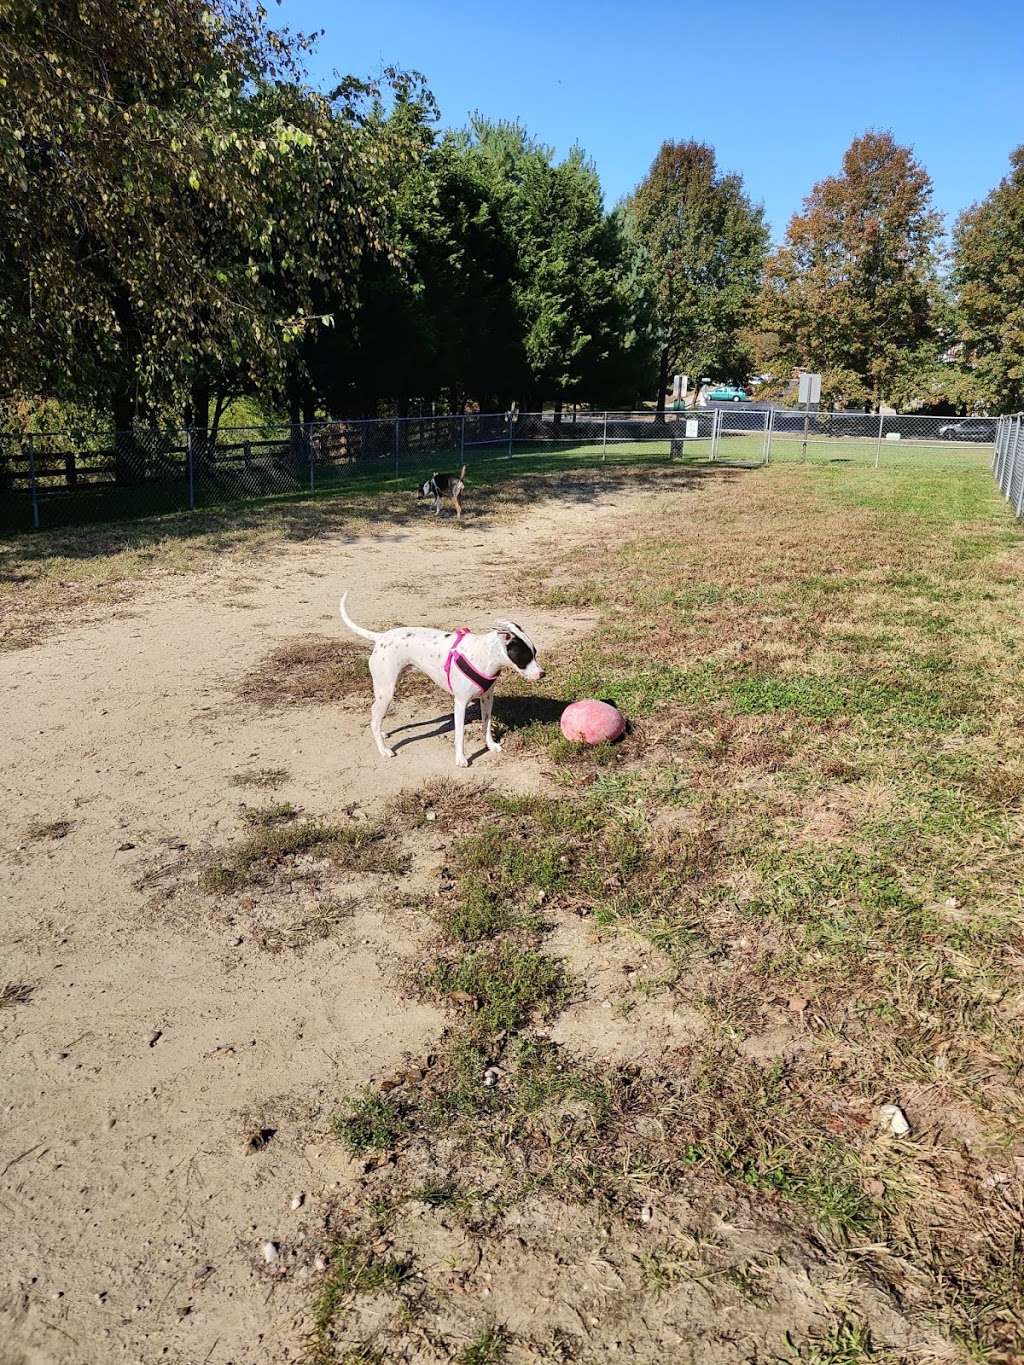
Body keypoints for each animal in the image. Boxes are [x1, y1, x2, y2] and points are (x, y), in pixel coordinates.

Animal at [341, 595, 546, 775]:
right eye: (525, 656)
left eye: (535, 653)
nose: (542, 674)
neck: (484, 655)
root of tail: (381, 637)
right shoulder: (461, 703)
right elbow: (460, 735)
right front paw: (461, 759)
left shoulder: (487, 699)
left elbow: (486, 725)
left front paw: (491, 745)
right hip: (387, 691)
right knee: (375, 718)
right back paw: (384, 749)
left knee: (375, 713)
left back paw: (382, 734)